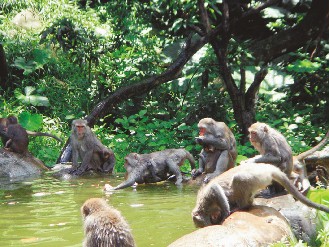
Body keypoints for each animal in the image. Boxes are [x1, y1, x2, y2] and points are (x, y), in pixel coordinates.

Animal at [191, 162, 329, 228]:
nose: (209, 224)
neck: (204, 206)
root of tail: (268, 168)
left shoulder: (208, 196)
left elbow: (216, 189)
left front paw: (224, 214)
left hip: (258, 177)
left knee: (239, 178)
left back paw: (243, 206)